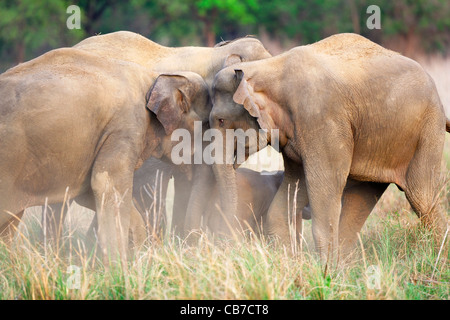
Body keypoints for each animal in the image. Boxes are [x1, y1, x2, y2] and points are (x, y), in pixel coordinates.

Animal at [0, 42, 213, 262]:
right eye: (207, 125)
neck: (154, 77)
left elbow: (89, 190)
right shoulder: (125, 126)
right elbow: (106, 183)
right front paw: (121, 266)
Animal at [208, 33, 450, 262]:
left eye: (220, 120)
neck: (269, 67)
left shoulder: (321, 120)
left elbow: (326, 182)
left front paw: (324, 273)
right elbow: (293, 187)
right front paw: (291, 260)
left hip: (427, 131)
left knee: (422, 197)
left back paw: (437, 261)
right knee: (362, 196)